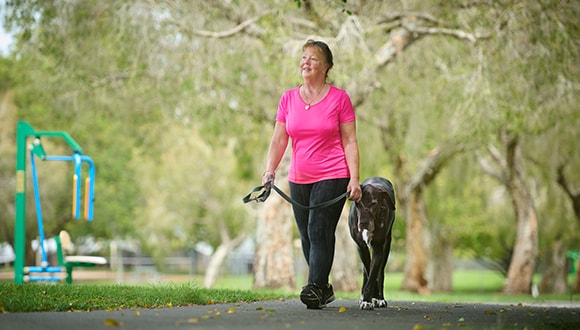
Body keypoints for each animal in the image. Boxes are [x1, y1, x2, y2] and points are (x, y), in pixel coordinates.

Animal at [346, 178, 396, 310]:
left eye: (374, 203)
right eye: (358, 203)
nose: (363, 222)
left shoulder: (378, 248)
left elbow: (374, 274)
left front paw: (371, 299)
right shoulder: (361, 247)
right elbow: (368, 273)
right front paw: (368, 298)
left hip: (387, 246)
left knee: (380, 273)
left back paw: (380, 298)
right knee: (365, 271)